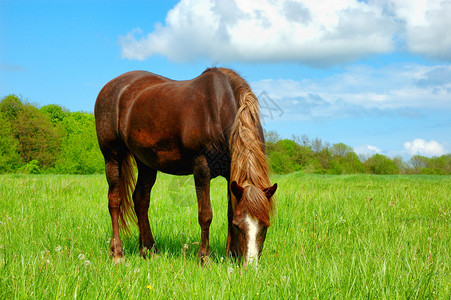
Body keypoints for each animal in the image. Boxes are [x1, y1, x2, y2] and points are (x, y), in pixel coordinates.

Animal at [95, 67, 278, 264]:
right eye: (239, 225)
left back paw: (149, 250)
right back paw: (117, 253)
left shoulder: (231, 174)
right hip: (112, 157)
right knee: (114, 201)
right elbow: (206, 214)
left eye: (266, 225)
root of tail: (110, 87)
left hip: (146, 162)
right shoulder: (201, 168)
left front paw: (231, 255)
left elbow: (230, 212)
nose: (250, 265)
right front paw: (204, 258)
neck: (218, 108)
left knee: (141, 200)